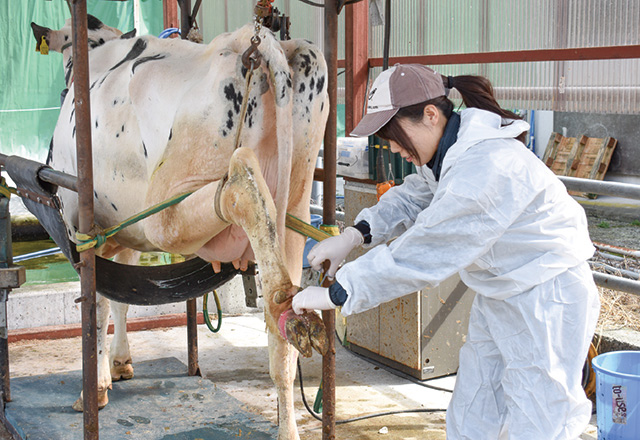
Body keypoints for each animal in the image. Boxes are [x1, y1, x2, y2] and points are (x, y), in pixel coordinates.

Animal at [31, 15, 330, 438]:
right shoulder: (121, 232)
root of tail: (256, 41)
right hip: (298, 198)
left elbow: (97, 305)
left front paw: (96, 387)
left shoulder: (80, 224)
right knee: (281, 337)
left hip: (169, 199)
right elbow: (120, 299)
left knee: (234, 187)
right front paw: (120, 364)